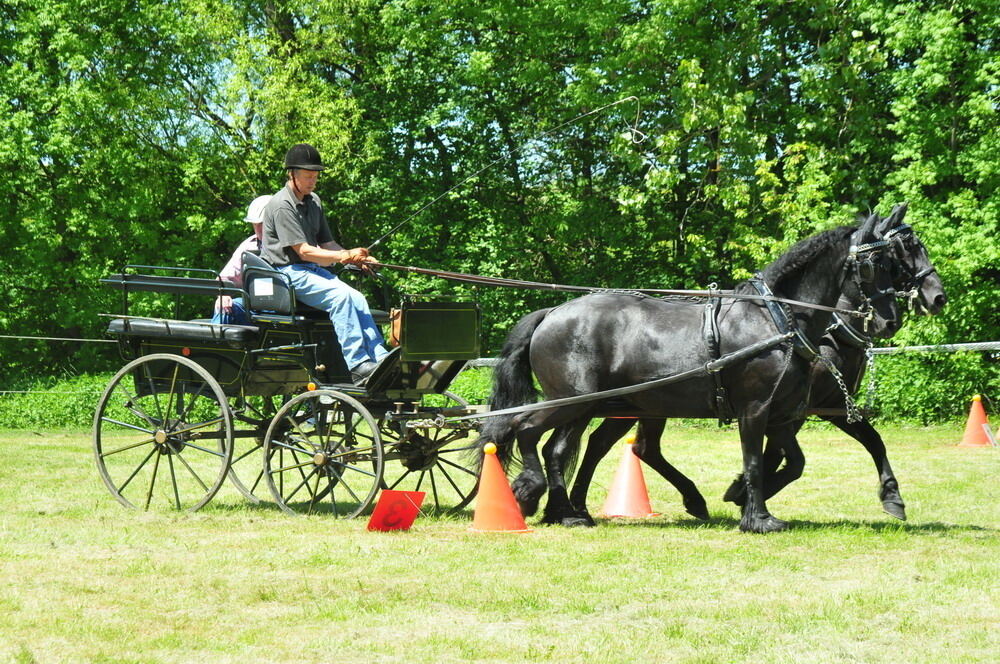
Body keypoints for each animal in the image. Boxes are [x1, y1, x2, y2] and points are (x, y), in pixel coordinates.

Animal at [480, 215, 904, 532]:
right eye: (875, 265)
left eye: (894, 262)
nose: (891, 321)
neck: (776, 318)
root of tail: (551, 313)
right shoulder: (755, 408)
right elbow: (755, 459)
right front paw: (757, 518)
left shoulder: (784, 412)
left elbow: (792, 461)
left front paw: (744, 500)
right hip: (573, 401)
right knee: (526, 429)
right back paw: (537, 492)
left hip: (606, 406)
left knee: (568, 447)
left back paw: (569, 512)